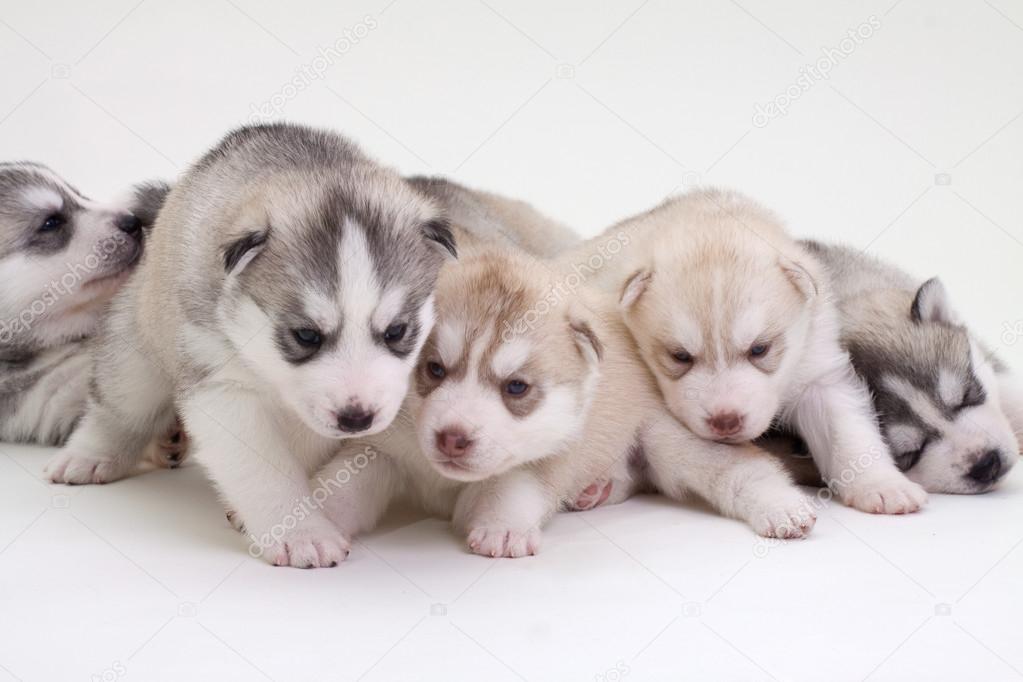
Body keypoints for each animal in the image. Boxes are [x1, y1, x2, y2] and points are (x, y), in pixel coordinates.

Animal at [43, 124, 452, 572]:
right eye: (306, 335)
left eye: (397, 331)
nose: (356, 418)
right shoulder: (220, 388)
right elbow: (263, 470)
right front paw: (300, 532)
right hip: (136, 348)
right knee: (121, 409)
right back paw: (88, 455)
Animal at [581, 189, 932, 515]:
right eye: (680, 356)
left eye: (760, 349)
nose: (725, 421)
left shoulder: (819, 368)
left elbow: (848, 431)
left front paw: (882, 485)